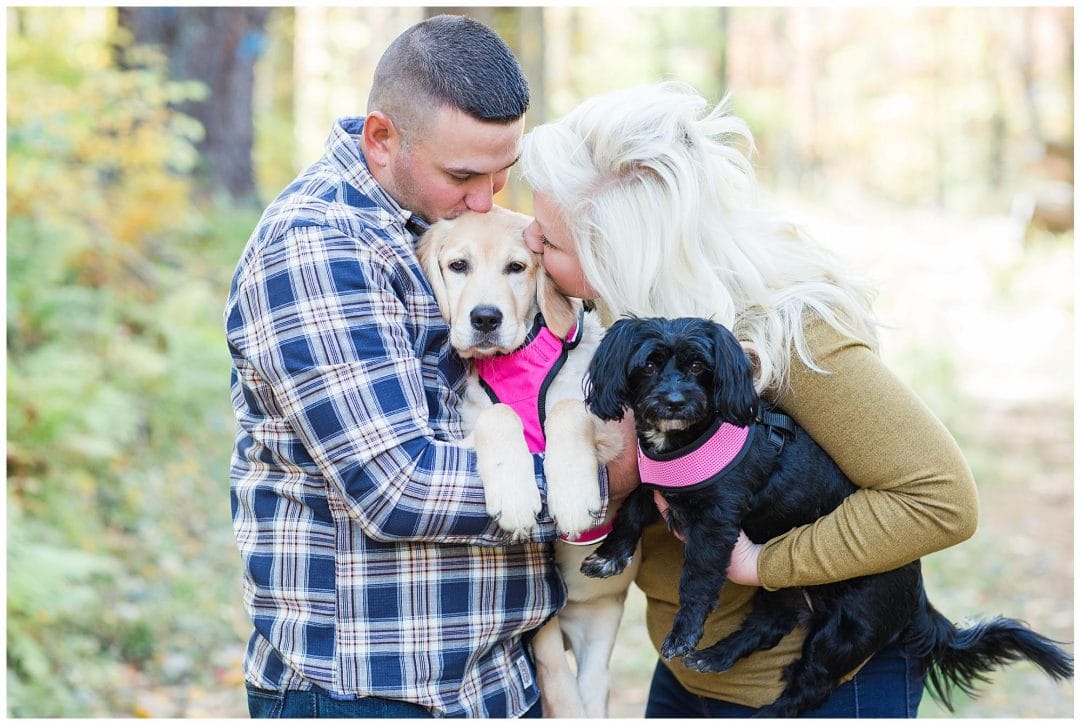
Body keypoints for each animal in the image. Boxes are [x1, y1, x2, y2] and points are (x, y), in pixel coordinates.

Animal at [419, 207, 639, 717]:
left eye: (517, 268)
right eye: (458, 266)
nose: (485, 318)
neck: (517, 361)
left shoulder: (614, 427)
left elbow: (566, 409)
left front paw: (574, 496)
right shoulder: (464, 424)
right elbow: (499, 415)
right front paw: (516, 498)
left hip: (598, 623)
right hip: (546, 631)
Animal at [583, 319, 1071, 721]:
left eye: (699, 366)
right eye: (649, 365)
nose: (674, 401)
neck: (686, 441)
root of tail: (919, 594)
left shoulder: (716, 525)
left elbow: (697, 581)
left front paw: (684, 635)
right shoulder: (656, 488)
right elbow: (628, 514)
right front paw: (609, 556)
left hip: (846, 631)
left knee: (809, 688)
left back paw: (766, 710)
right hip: (781, 591)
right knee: (771, 626)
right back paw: (718, 656)